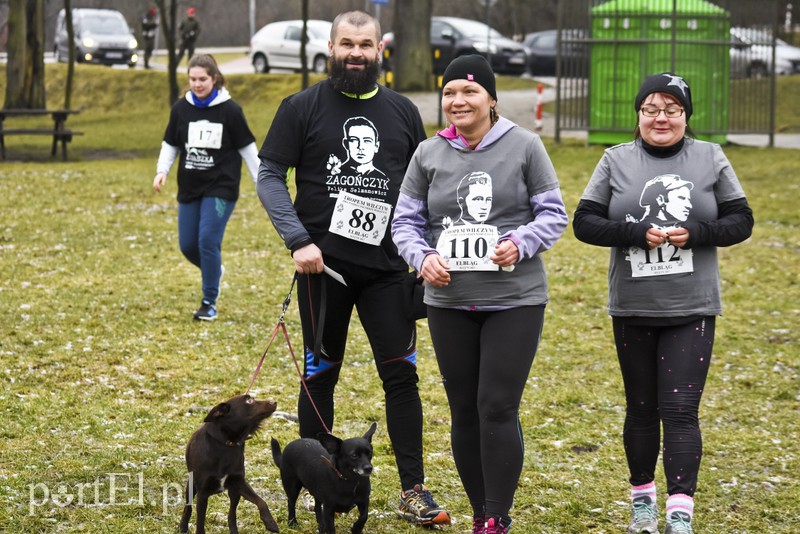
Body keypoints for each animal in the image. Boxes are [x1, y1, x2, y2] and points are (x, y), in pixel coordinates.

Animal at [180, 394, 280, 534]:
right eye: (248, 400)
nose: (274, 401)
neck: (227, 443)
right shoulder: (202, 493)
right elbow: (200, 524)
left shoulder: (238, 483)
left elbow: (261, 502)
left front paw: (270, 523)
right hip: (191, 485)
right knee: (188, 506)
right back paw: (183, 526)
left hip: (234, 493)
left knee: (231, 515)